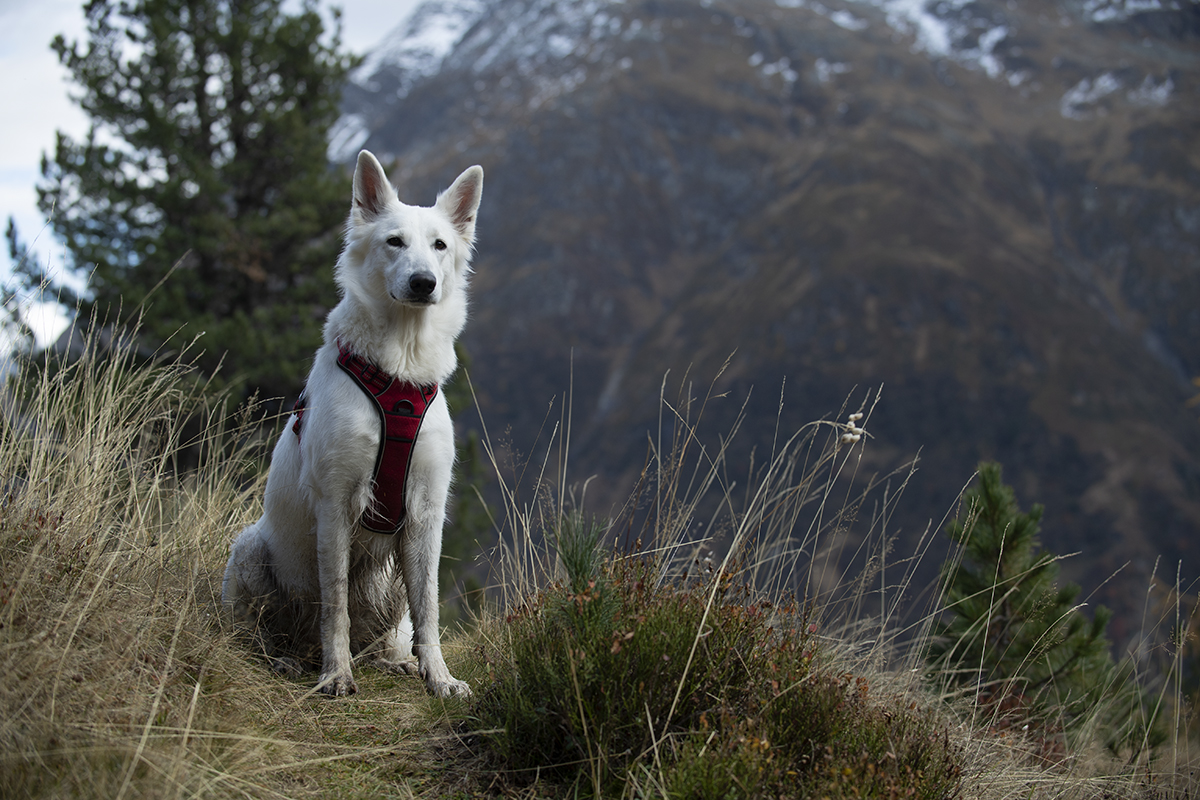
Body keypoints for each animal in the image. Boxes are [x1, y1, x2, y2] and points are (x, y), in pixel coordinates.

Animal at [222, 150, 482, 698]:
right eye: (394, 241)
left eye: (440, 245)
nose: (423, 282)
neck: (399, 374)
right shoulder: (336, 504)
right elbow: (334, 604)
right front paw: (336, 673)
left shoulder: (426, 512)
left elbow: (428, 609)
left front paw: (438, 677)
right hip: (250, 549)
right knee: (257, 633)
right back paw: (286, 659)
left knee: (388, 634)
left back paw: (394, 661)